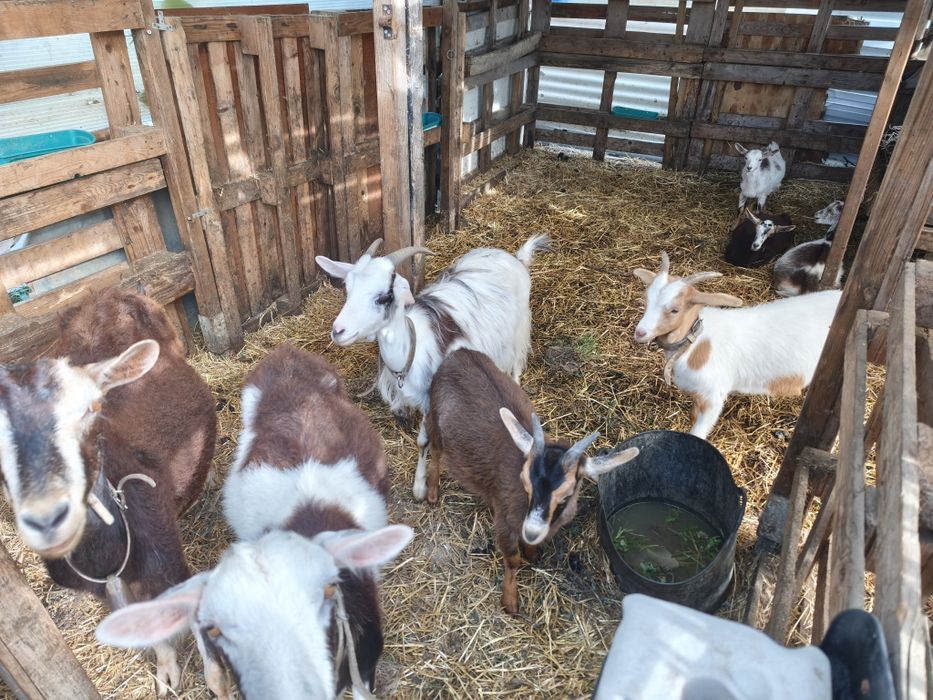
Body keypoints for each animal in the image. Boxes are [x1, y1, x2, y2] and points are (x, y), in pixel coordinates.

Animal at [316, 234, 551, 502]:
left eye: (383, 297)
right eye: (348, 289)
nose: (338, 331)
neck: (411, 347)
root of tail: (515, 258)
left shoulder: (433, 397)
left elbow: (423, 441)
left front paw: (420, 488)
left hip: (519, 327)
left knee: (517, 363)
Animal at [425, 348, 638, 613]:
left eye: (567, 495)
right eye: (525, 483)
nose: (532, 531)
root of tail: (459, 352)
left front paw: (532, 552)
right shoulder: (505, 523)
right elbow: (513, 560)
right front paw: (510, 602)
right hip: (434, 417)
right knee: (435, 452)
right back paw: (432, 493)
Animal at [633, 253, 841, 440]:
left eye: (675, 310)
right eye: (647, 300)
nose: (640, 333)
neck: (695, 343)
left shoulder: (713, 396)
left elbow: (698, 433)